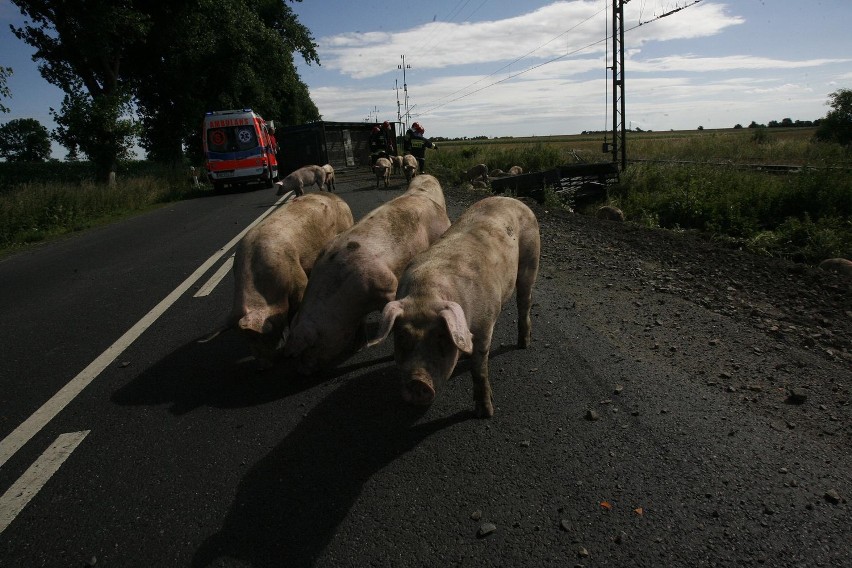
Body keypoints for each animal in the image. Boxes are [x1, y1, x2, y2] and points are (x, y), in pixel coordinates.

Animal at [200, 192, 352, 368]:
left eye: (261, 336)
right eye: (246, 340)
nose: (263, 366)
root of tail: (335, 197)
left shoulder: (298, 278)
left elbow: (295, 310)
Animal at [284, 175, 452, 374]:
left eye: (305, 349)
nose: (300, 371)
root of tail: (433, 203)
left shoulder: (387, 286)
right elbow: (362, 322)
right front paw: (358, 347)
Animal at [370, 196, 544, 418]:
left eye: (441, 338)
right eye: (401, 337)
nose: (418, 381)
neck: (425, 295)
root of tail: (512, 199)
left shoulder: (485, 326)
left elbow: (479, 370)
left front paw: (485, 413)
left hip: (531, 258)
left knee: (524, 302)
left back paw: (524, 344)